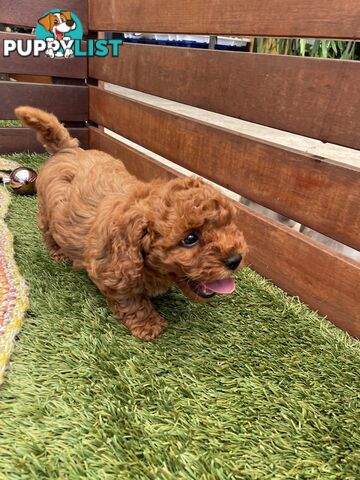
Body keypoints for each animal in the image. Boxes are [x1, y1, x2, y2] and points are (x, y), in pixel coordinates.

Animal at [16, 108, 248, 342]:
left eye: (227, 223)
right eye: (190, 238)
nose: (236, 259)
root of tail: (68, 150)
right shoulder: (113, 274)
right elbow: (132, 302)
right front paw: (149, 325)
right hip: (46, 211)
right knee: (48, 232)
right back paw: (58, 253)